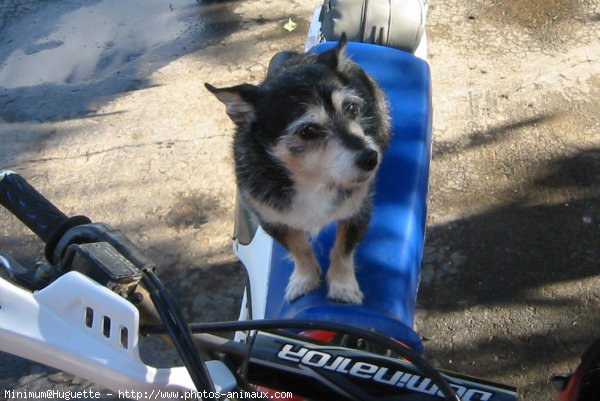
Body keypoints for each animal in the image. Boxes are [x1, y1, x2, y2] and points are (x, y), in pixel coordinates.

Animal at [206, 38, 392, 304]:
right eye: (308, 131)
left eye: (351, 109)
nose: (371, 158)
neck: (311, 179)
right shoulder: (272, 220)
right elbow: (299, 248)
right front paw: (305, 279)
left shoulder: (358, 211)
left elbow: (343, 249)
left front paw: (343, 286)